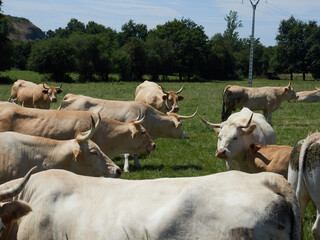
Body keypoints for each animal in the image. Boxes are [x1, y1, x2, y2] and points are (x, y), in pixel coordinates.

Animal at [58, 93, 196, 171]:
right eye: (181, 124)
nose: (184, 134)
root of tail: (71, 97)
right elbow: (127, 154)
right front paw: (127, 168)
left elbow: (135, 153)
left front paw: (137, 164)